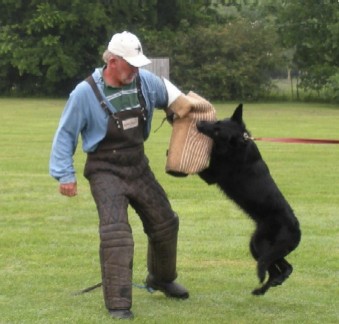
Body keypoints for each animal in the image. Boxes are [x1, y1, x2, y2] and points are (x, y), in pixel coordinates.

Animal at [198, 105, 302, 294]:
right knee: (283, 269)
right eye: (216, 122)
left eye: (217, 131)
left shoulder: (211, 175)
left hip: (261, 245)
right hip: (257, 247)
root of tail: (296, 230)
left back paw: (264, 288)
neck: (239, 143)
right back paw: (266, 287)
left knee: (275, 269)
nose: (198, 123)